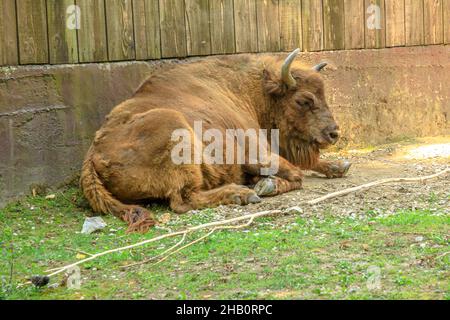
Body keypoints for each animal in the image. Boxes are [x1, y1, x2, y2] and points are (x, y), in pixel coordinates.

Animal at [81, 49, 352, 232]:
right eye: (303, 100)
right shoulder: (256, 153)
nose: (334, 133)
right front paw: (266, 185)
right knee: (183, 200)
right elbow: (295, 174)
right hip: (175, 131)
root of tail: (92, 155)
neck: (253, 92)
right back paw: (241, 194)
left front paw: (339, 166)